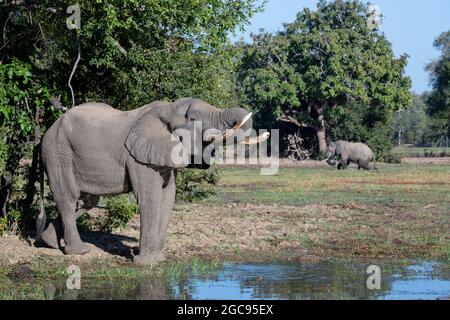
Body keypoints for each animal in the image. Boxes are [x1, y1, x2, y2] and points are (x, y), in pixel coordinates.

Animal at [37, 98, 268, 264]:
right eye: (193, 118)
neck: (169, 108)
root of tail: (47, 131)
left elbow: (168, 197)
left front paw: (157, 259)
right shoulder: (138, 157)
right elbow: (151, 197)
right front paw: (145, 263)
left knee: (89, 200)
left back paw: (49, 242)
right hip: (58, 152)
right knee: (68, 197)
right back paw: (79, 252)